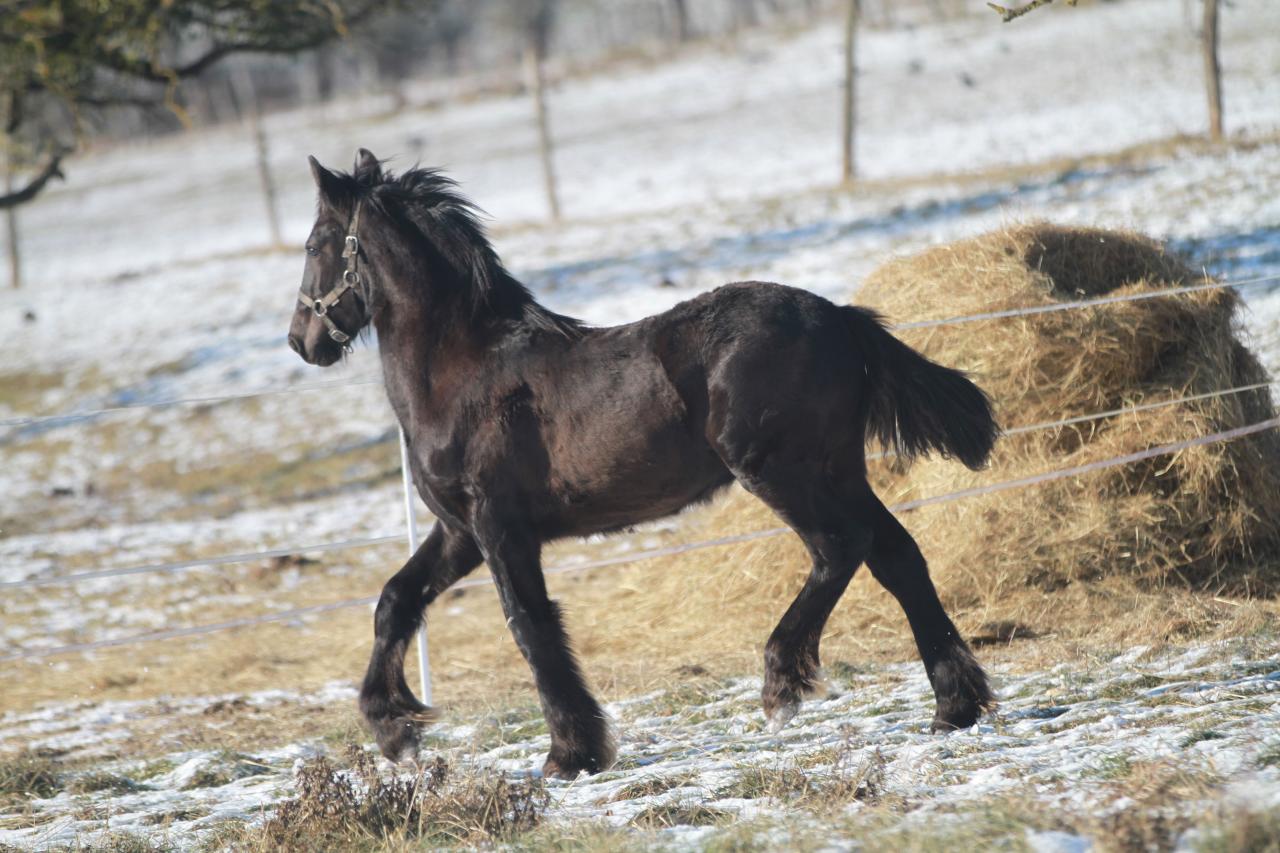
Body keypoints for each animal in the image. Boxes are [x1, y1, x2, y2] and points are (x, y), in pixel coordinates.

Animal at [290, 149, 998, 773]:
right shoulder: (459, 531)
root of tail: (840, 318)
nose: (301, 342)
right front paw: (395, 732)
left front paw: (571, 755)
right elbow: (395, 601)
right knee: (897, 556)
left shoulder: (498, 527)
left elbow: (530, 627)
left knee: (839, 546)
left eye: (314, 244)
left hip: (778, 469)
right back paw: (954, 708)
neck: (464, 373)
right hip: (839, 468)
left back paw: (782, 686)